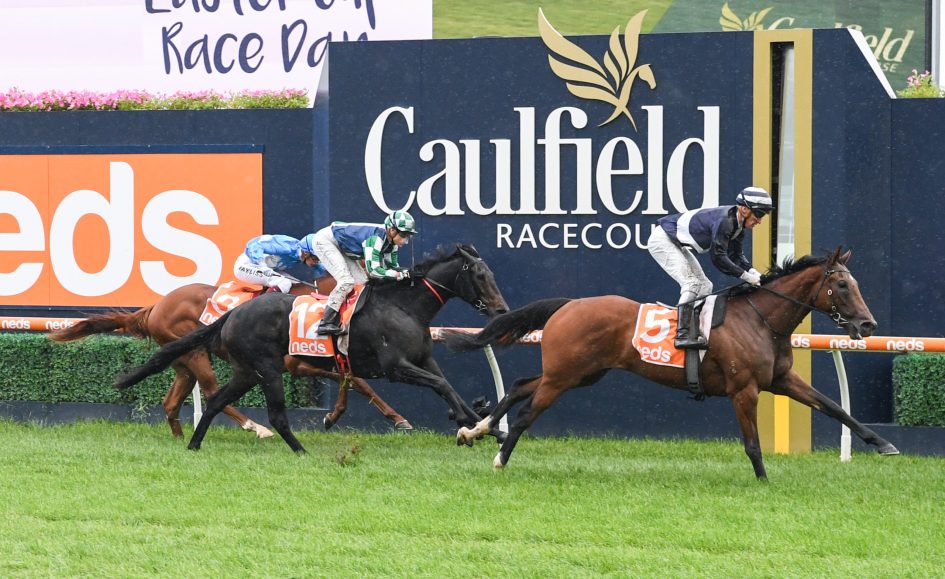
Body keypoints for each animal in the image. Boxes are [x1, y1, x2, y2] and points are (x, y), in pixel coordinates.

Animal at [48, 277, 412, 438]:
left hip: (182, 360)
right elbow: (357, 380)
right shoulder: (297, 362)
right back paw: (256, 427)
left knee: (172, 401)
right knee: (211, 391)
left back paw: (181, 437)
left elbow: (355, 379)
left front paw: (390, 417)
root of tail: (154, 308)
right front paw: (338, 417)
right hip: (195, 353)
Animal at [115, 244, 510, 453]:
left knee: (209, 401)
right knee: (269, 412)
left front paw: (486, 427)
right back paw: (297, 449)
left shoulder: (422, 358)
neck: (402, 306)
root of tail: (232, 314)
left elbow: (448, 387)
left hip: (245, 371)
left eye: (492, 274)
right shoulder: (395, 367)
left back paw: (194, 444)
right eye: (479, 275)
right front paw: (469, 427)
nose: (501, 310)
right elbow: (439, 387)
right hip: (262, 368)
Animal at [444, 248, 899, 480]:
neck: (760, 319)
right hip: (565, 376)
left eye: (854, 283)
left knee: (520, 384)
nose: (867, 324)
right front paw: (764, 481)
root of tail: (569, 304)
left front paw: (883, 444)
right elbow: (752, 442)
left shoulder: (782, 379)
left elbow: (835, 407)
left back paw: (476, 430)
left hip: (581, 373)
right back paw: (500, 458)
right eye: (842, 285)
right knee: (526, 413)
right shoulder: (744, 389)